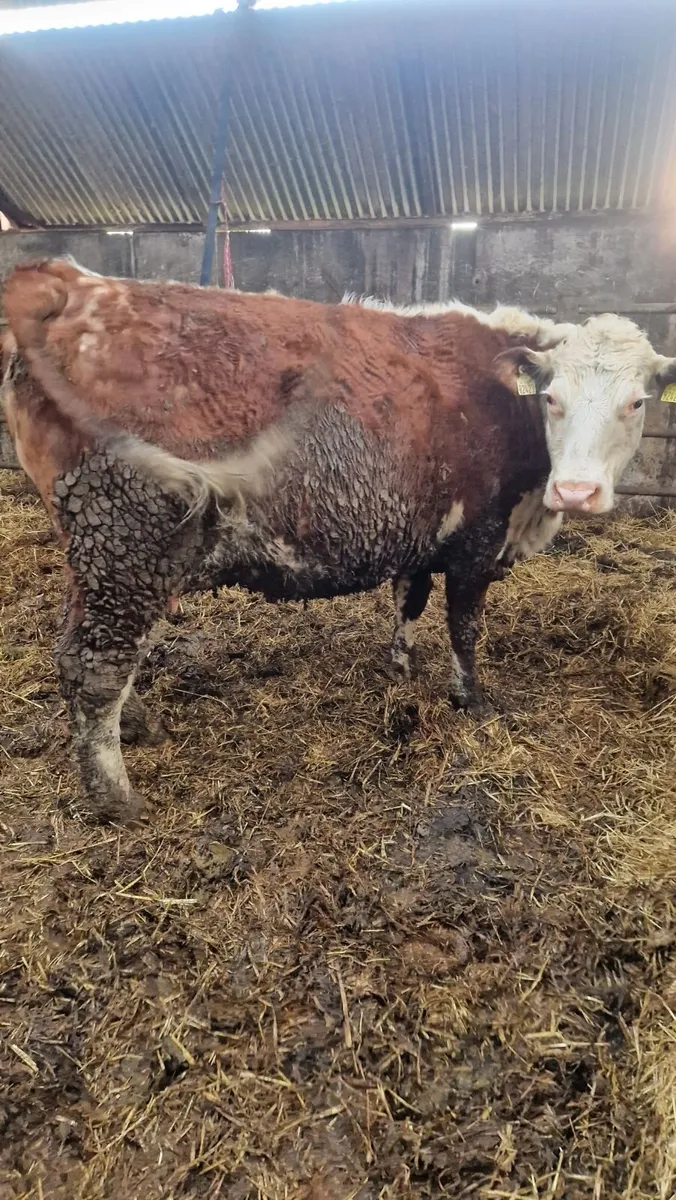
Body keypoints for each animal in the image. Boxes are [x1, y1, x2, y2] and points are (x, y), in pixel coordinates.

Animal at [2, 258, 673, 823]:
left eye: (637, 402)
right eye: (553, 398)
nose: (577, 491)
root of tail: (73, 281)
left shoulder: (420, 533)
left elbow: (409, 602)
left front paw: (400, 669)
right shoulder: (478, 539)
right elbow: (465, 626)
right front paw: (472, 699)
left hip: (95, 552)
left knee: (78, 651)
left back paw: (139, 726)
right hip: (126, 536)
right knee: (97, 667)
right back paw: (117, 798)